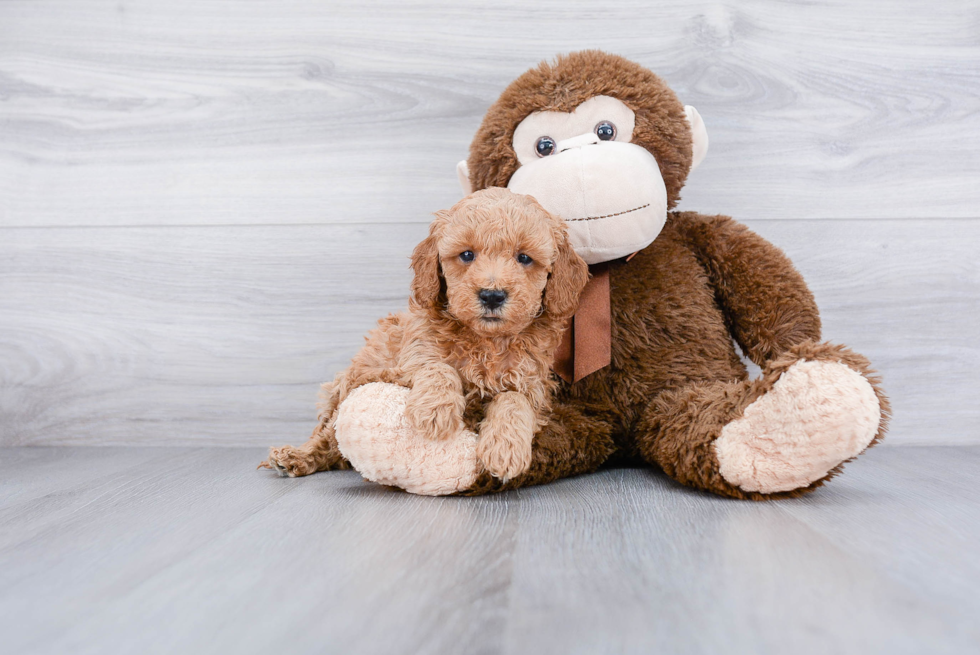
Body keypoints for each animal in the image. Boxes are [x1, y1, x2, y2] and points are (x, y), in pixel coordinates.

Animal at [256, 188, 588, 482]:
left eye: (524, 258)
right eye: (467, 255)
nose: (492, 295)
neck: (485, 341)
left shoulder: (533, 384)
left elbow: (513, 400)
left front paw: (505, 449)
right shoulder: (400, 364)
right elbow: (437, 366)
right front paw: (435, 411)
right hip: (342, 389)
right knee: (327, 436)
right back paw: (296, 456)